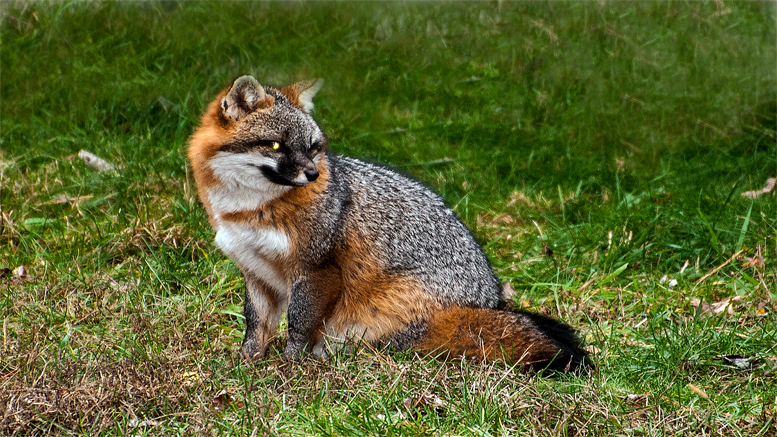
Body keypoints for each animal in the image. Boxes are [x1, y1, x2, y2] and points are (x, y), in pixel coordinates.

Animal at [188, 75, 588, 372]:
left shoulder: (317, 269)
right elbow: (255, 326)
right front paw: (246, 363)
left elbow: (299, 324)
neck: (247, 209)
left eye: (313, 147)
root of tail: (486, 304)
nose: (313, 174)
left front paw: (288, 368)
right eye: (275, 146)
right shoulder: (255, 272)